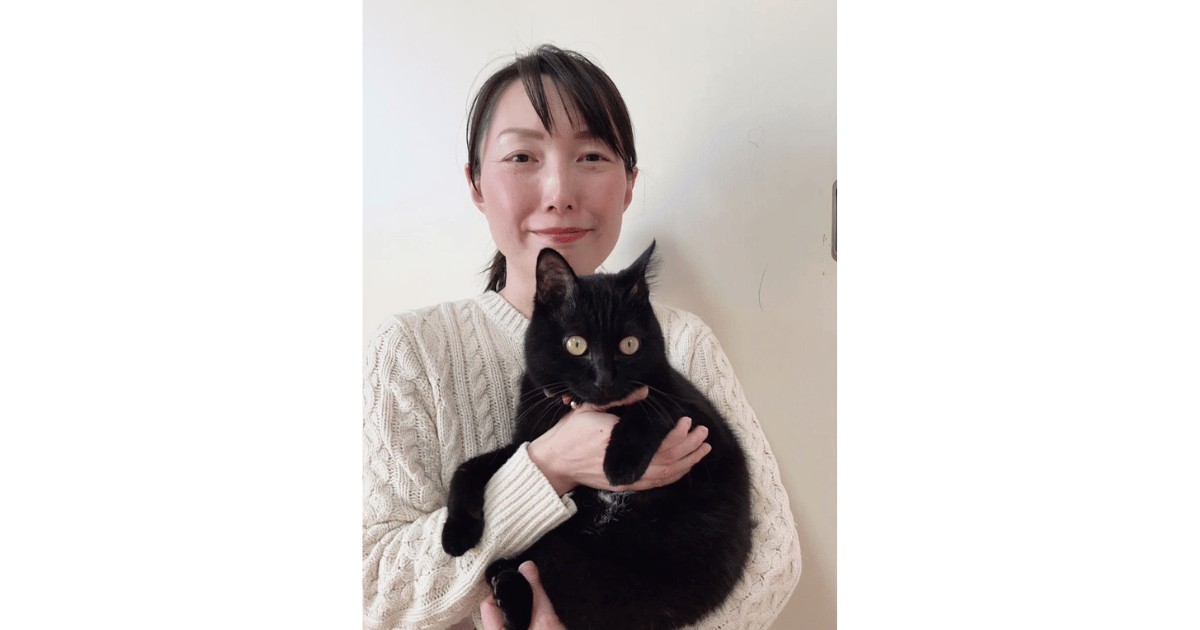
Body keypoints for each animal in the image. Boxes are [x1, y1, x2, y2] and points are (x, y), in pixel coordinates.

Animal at [441, 241, 752, 630]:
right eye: (576, 345)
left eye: (630, 344)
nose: (605, 379)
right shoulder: (529, 442)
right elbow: (469, 466)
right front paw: (456, 533)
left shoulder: (702, 421)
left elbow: (649, 406)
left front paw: (619, 466)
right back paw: (509, 599)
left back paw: (511, 601)